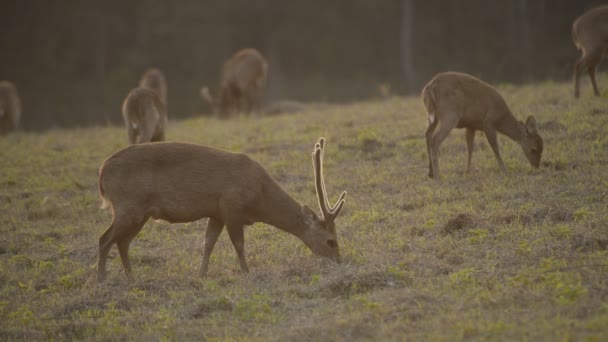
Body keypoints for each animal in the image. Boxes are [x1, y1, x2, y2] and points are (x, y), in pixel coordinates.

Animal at [98, 138, 350, 282]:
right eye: (331, 241)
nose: (338, 261)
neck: (259, 197)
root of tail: (102, 173)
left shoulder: (216, 213)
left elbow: (208, 243)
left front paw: (201, 274)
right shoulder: (231, 207)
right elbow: (238, 244)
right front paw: (247, 273)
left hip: (139, 212)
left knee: (122, 241)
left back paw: (131, 277)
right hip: (127, 204)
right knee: (105, 238)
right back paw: (101, 279)